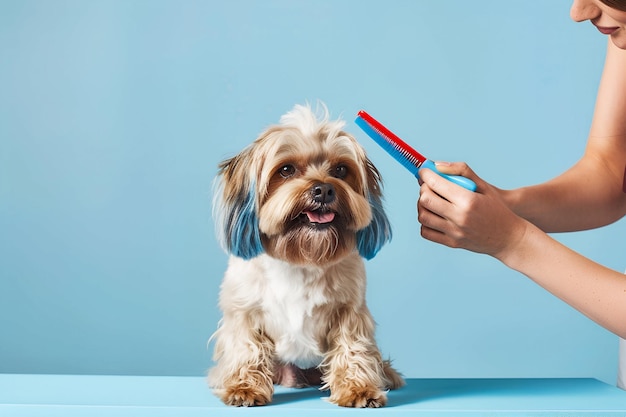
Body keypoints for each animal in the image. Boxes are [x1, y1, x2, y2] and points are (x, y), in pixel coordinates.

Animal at [208, 103, 404, 406]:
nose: (323, 189)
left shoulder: (350, 312)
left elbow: (353, 348)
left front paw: (358, 389)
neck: (303, 257)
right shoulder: (243, 311)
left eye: (341, 169)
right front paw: (245, 388)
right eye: (286, 169)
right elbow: (247, 347)